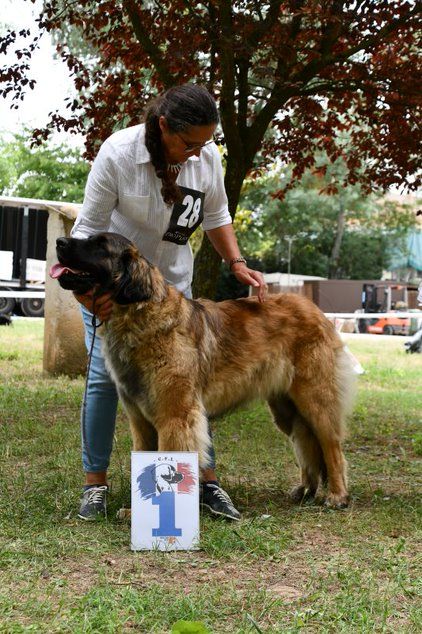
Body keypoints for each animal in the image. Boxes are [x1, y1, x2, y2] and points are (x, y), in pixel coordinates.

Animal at [52, 230, 356, 506]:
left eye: (100, 245)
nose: (59, 242)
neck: (139, 314)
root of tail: (316, 311)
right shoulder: (140, 421)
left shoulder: (174, 417)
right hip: (285, 409)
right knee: (306, 442)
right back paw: (305, 489)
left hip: (315, 400)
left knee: (331, 445)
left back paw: (337, 495)